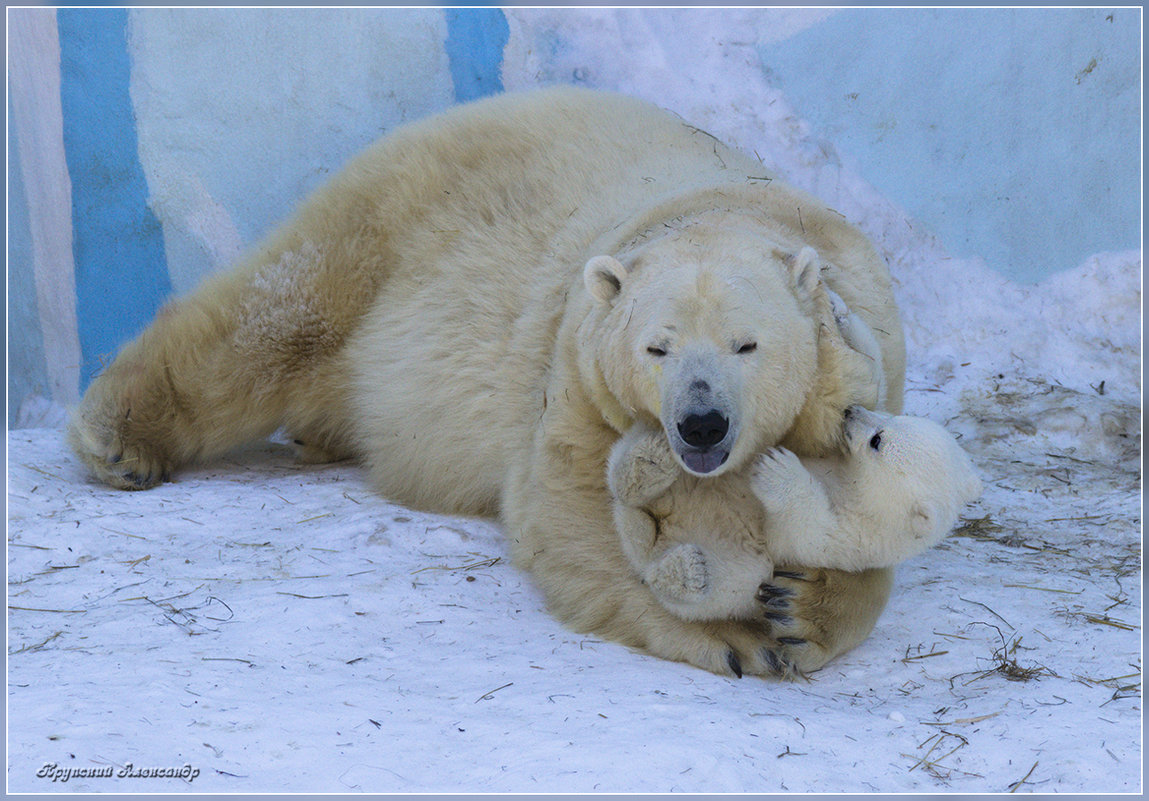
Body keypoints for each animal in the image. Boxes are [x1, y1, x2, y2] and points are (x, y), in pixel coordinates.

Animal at [69, 86, 905, 675]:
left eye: (746, 345)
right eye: (655, 348)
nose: (700, 424)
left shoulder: (864, 365)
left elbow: (870, 498)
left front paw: (801, 606)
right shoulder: (577, 370)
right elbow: (572, 505)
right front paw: (736, 627)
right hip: (391, 227)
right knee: (275, 317)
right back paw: (121, 438)